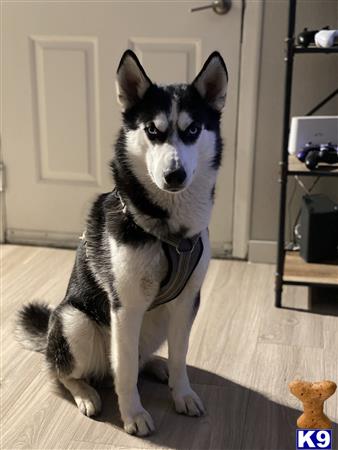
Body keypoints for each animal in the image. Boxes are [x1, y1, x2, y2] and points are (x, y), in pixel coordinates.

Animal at [15, 50, 227, 436]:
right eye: (152, 130)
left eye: (192, 130)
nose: (174, 175)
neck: (170, 231)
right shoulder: (126, 306)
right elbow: (125, 371)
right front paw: (134, 414)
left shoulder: (188, 301)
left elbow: (180, 357)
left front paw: (182, 393)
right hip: (76, 321)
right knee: (66, 372)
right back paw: (85, 393)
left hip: (153, 322)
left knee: (139, 357)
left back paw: (156, 365)